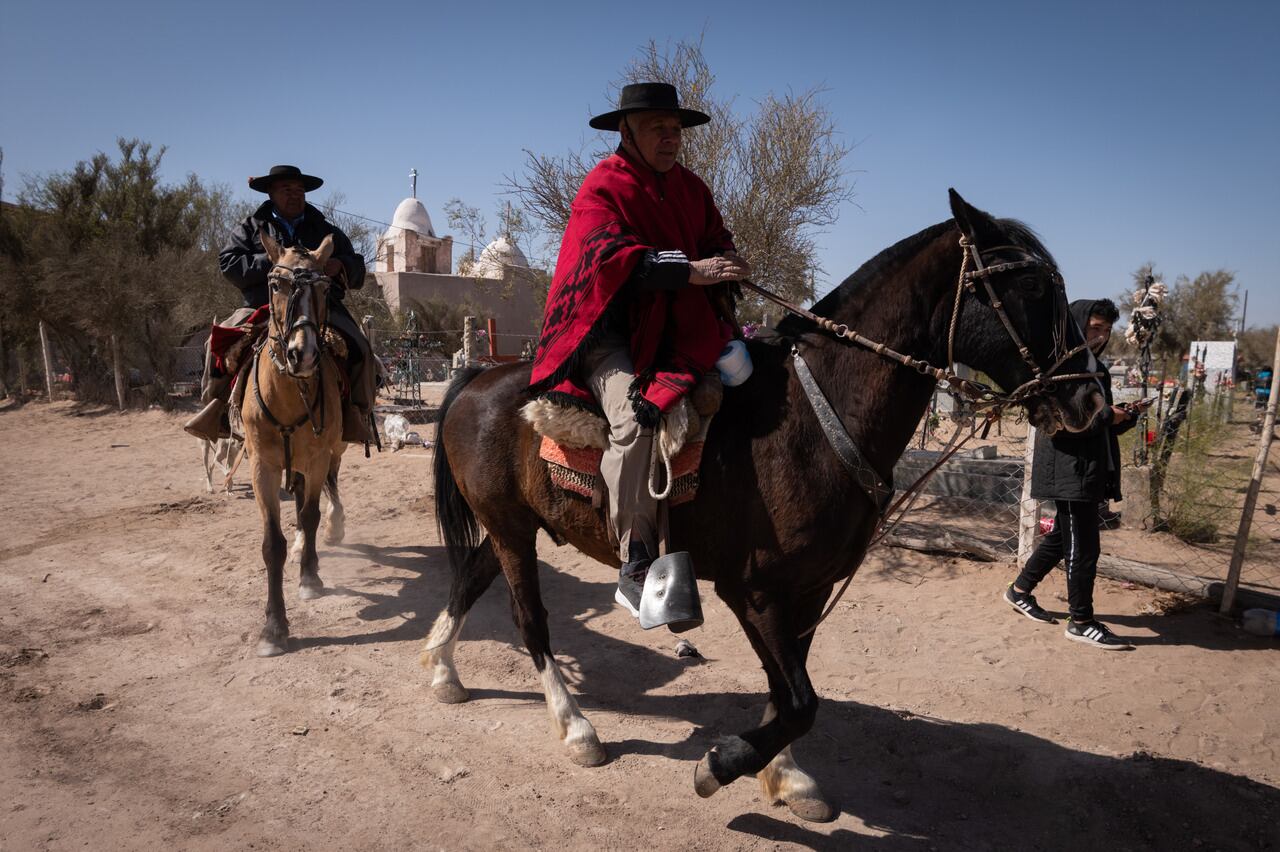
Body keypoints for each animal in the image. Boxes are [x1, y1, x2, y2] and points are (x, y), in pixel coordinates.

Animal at [424, 190, 1105, 818]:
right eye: (1032, 287)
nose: (1092, 399)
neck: (815, 416)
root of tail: (480, 377)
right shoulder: (753, 591)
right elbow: (800, 702)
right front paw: (722, 764)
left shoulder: (805, 590)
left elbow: (787, 692)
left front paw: (785, 777)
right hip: (513, 529)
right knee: (529, 619)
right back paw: (576, 730)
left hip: (512, 525)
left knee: (470, 578)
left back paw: (443, 672)